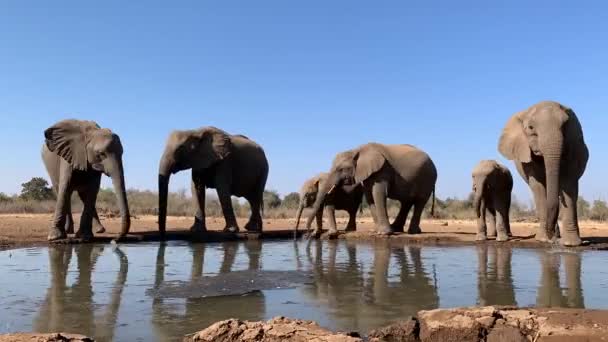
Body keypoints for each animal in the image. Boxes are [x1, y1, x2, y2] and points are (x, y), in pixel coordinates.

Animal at [306, 143, 434, 236]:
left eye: (341, 169)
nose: (309, 232)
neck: (357, 150)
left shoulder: (383, 170)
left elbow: (378, 193)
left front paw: (384, 233)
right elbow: (369, 196)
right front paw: (376, 231)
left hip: (427, 179)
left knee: (420, 202)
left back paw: (412, 232)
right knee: (406, 202)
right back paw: (398, 229)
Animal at [498, 101, 588, 246]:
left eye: (564, 126)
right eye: (530, 127)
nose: (553, 240)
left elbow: (568, 182)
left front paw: (571, 244)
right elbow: (538, 186)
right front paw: (544, 239)